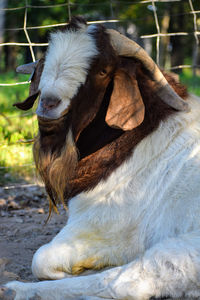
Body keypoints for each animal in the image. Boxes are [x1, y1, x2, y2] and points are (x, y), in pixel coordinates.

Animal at [3, 16, 200, 300]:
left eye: (102, 71)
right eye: (45, 61)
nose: (49, 104)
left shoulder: (104, 226)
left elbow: (41, 258)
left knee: (125, 282)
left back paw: (16, 290)